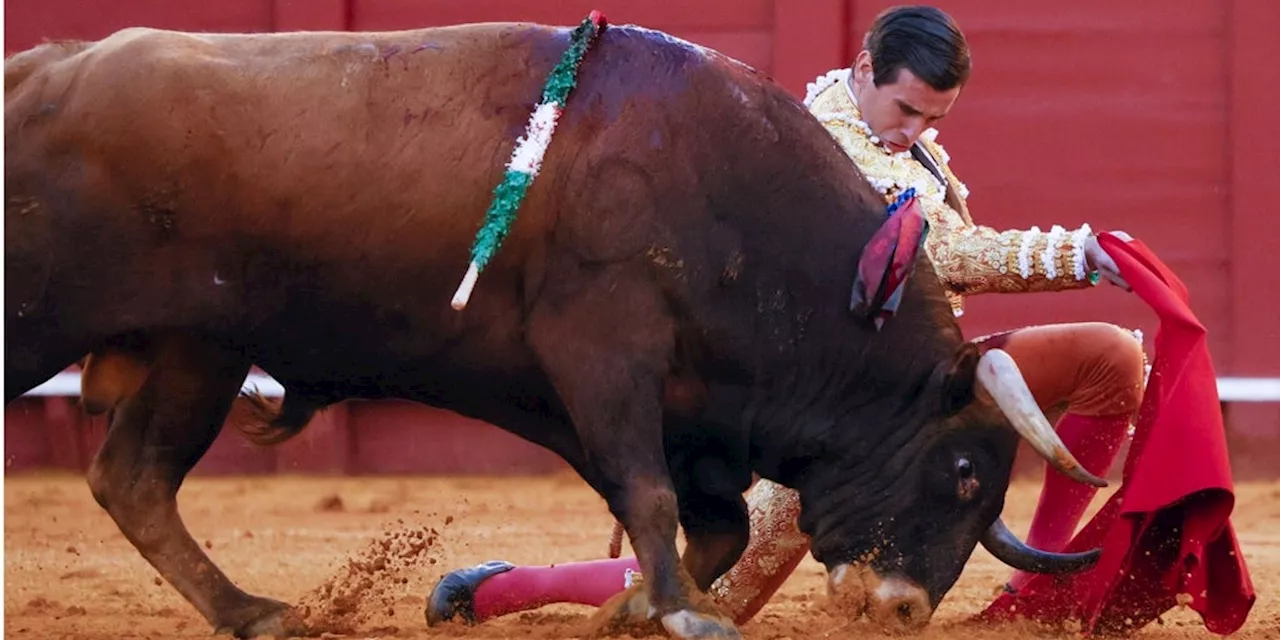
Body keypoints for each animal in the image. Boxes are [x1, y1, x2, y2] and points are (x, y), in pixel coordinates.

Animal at [2, 20, 1100, 640]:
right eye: (963, 472)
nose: (906, 606)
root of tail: (39, 73)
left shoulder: (685, 412)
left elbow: (712, 521)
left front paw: (633, 608)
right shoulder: (604, 356)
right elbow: (655, 498)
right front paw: (682, 613)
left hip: (202, 348)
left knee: (132, 478)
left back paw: (253, 613)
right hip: (58, 323)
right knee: (130, 474)